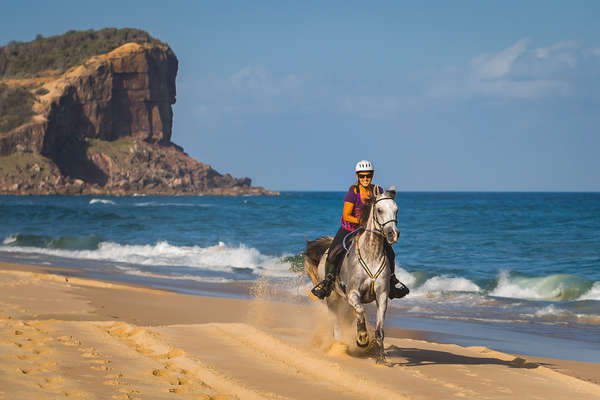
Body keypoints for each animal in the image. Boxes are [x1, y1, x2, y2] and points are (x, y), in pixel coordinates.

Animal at [304, 188, 398, 362]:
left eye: (396, 210)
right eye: (379, 210)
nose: (392, 234)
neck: (371, 254)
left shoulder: (382, 295)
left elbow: (379, 328)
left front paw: (381, 357)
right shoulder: (353, 294)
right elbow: (361, 311)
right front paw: (362, 338)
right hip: (333, 297)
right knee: (336, 322)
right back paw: (339, 346)